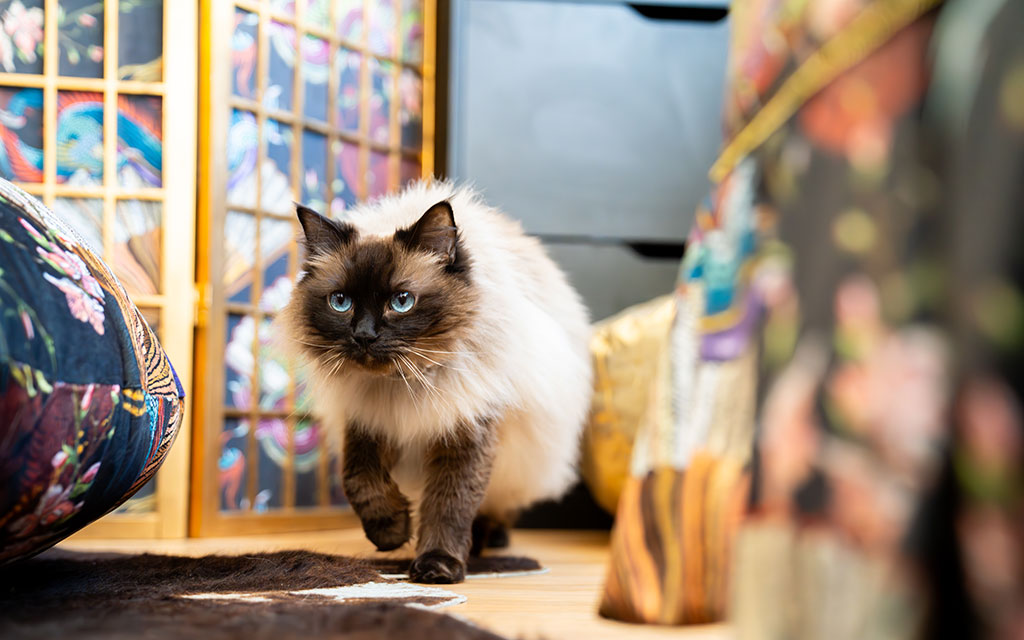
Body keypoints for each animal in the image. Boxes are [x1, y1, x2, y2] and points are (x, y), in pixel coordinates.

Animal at [280, 181, 593, 585]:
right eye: (341, 302)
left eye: (402, 301)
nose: (364, 336)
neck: (405, 384)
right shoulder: (370, 420)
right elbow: (360, 482)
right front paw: (391, 533)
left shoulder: (465, 429)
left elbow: (450, 504)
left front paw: (437, 566)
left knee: (496, 505)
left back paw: (488, 541)